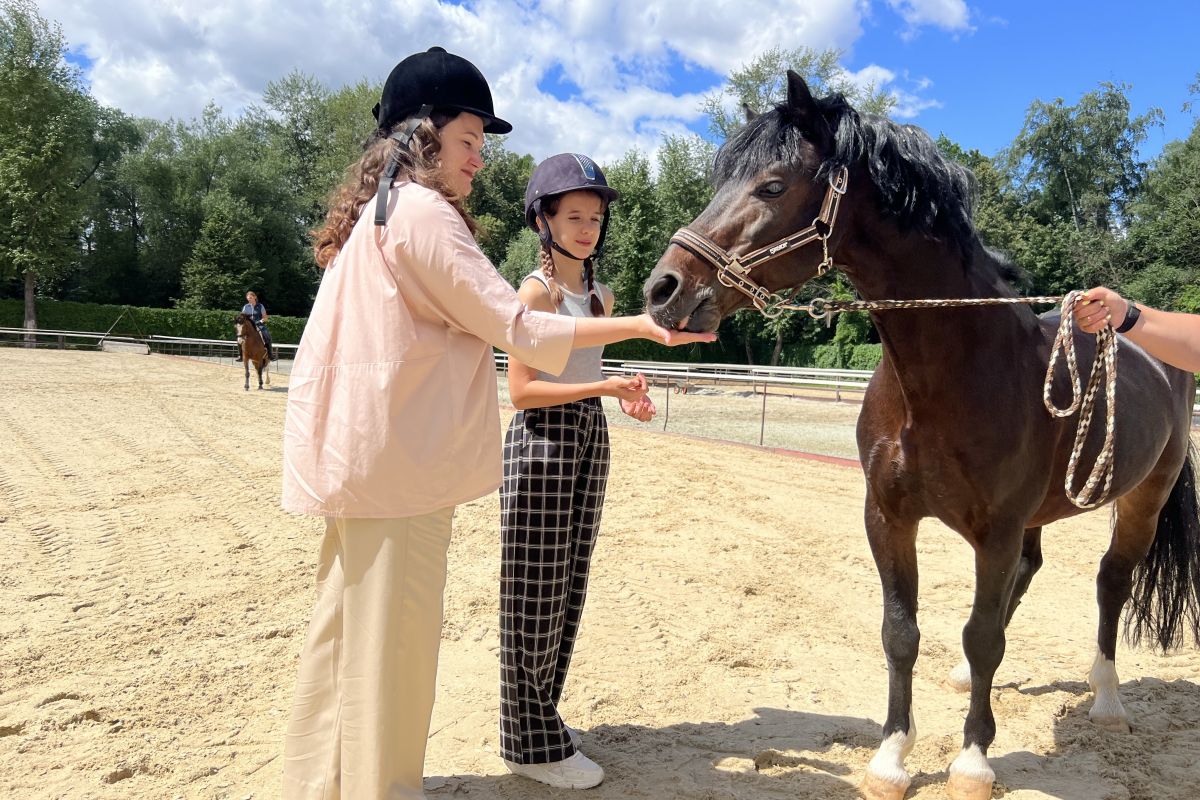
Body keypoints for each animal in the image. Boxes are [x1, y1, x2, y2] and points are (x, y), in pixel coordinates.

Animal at [648, 71, 1200, 796]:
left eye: (771, 186)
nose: (664, 289)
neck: (948, 376)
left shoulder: (995, 530)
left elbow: (983, 636)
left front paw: (972, 760)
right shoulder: (888, 516)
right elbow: (902, 633)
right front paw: (891, 757)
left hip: (1142, 499)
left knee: (1110, 581)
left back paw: (1107, 700)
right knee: (1027, 579)